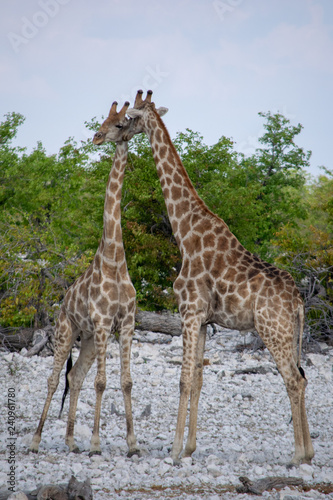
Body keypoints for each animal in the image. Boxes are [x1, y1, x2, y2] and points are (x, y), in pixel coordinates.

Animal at [28, 101, 137, 458]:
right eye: (103, 120)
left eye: (120, 123)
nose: (97, 136)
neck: (114, 259)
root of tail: (61, 305)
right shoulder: (103, 323)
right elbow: (102, 382)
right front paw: (96, 443)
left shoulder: (126, 324)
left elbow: (125, 381)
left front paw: (133, 444)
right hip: (68, 330)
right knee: (53, 379)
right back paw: (36, 440)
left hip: (87, 339)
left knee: (74, 377)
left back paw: (71, 440)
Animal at [97, 90, 312, 468]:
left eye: (123, 121)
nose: (98, 135)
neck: (185, 231)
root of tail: (298, 301)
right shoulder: (203, 320)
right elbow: (197, 378)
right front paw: (189, 448)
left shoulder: (189, 311)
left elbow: (183, 380)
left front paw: (172, 451)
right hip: (288, 332)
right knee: (301, 376)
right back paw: (310, 452)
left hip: (273, 330)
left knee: (293, 380)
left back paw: (298, 456)